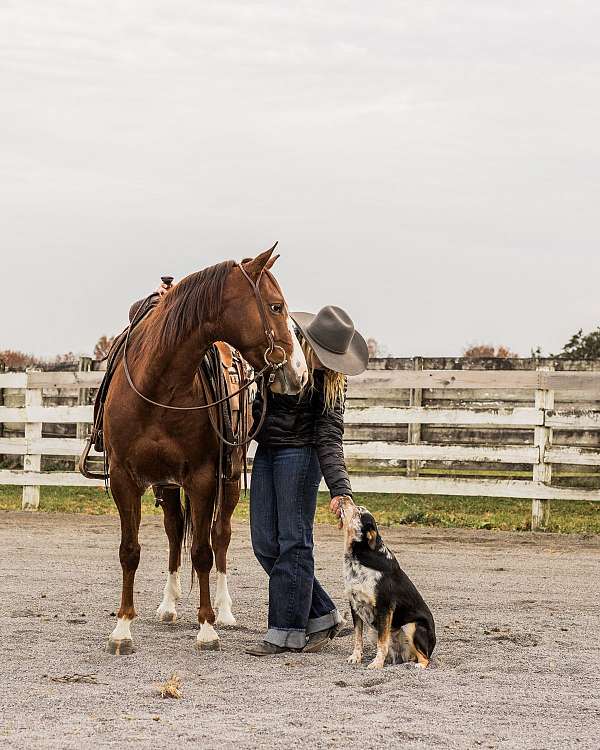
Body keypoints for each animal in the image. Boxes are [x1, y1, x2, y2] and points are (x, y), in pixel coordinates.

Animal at [102, 250, 308, 656]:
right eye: (275, 306)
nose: (299, 373)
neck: (159, 385)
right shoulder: (124, 478)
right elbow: (130, 550)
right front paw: (122, 628)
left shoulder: (202, 477)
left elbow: (203, 550)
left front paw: (207, 627)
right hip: (165, 484)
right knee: (173, 530)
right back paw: (168, 604)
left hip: (229, 479)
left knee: (220, 534)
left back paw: (224, 610)